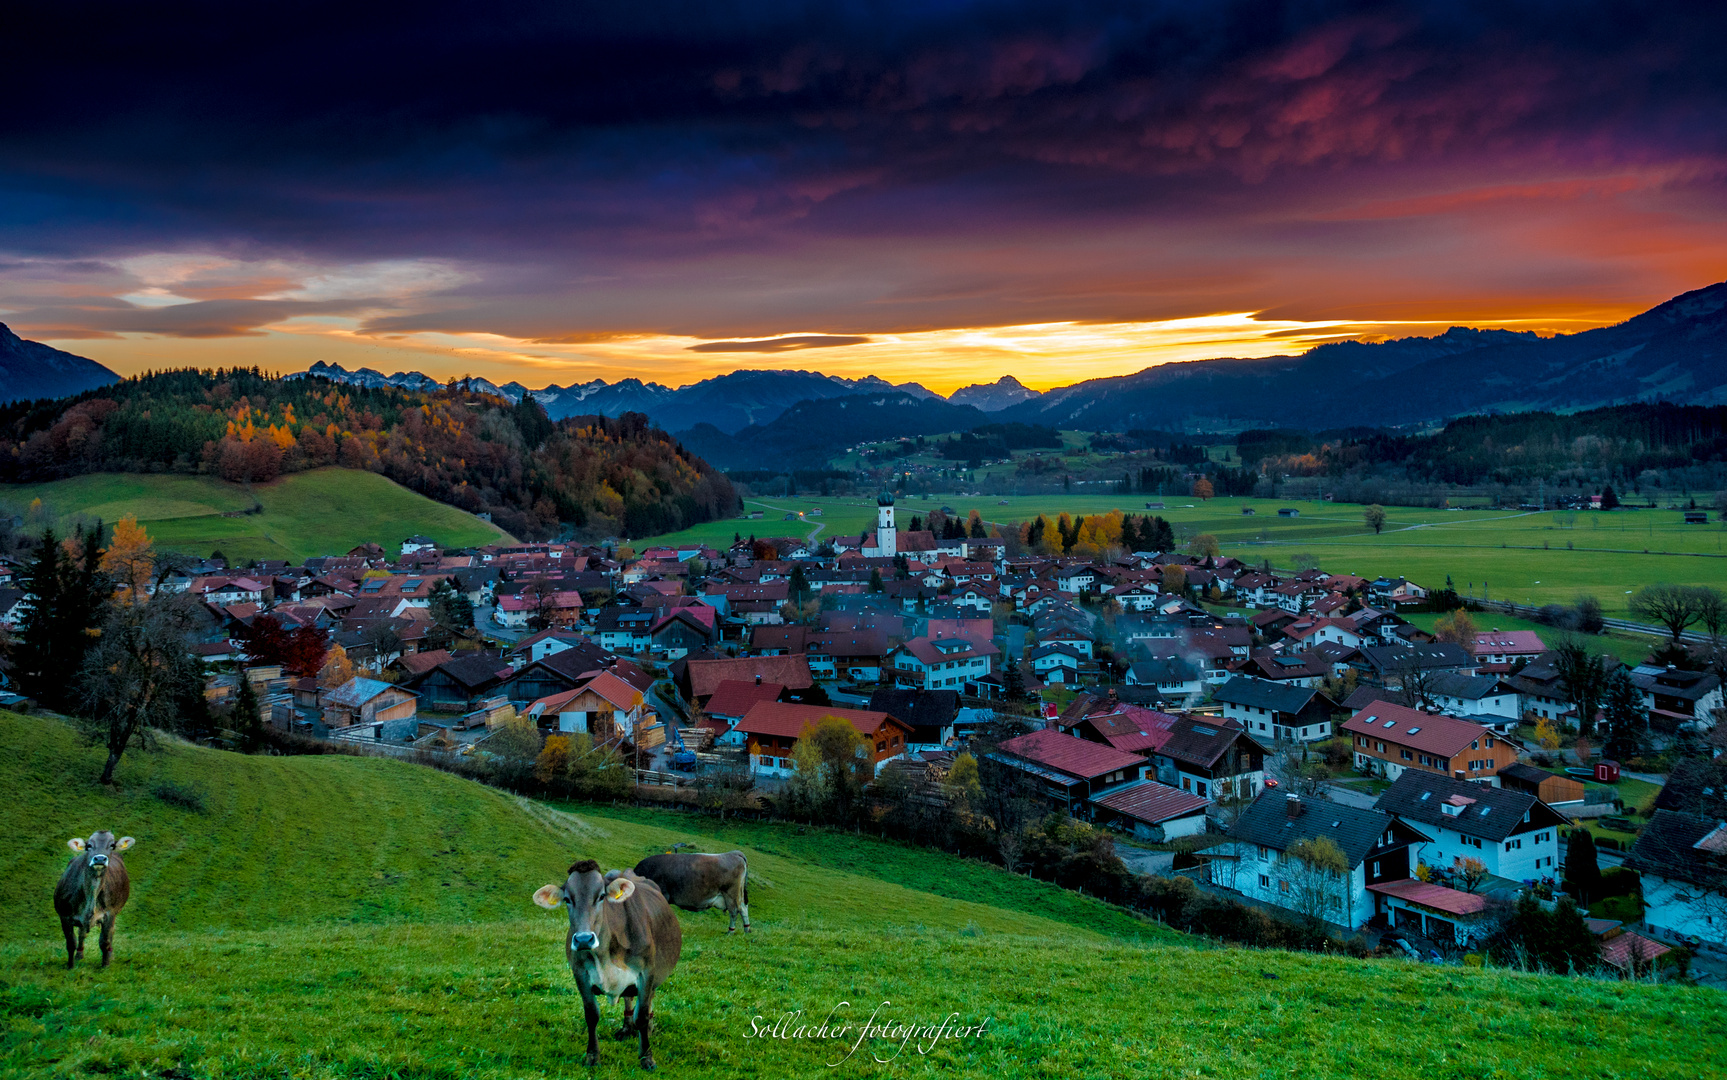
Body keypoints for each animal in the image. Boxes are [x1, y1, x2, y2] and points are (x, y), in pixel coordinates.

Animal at [52, 829, 134, 974]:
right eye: (89, 845)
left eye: (112, 845)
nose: (100, 859)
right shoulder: (64, 916)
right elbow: (71, 942)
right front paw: (70, 966)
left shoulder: (109, 914)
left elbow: (105, 941)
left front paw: (105, 965)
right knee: (82, 933)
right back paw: (79, 955)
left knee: (111, 933)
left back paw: (110, 955)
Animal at [531, 860, 680, 1071]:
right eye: (567, 899)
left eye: (601, 896)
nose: (583, 939)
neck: (605, 956)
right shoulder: (580, 974)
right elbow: (591, 1015)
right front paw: (592, 1056)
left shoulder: (647, 972)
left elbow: (642, 1015)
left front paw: (646, 1057)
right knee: (628, 998)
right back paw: (626, 1028)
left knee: (648, 1000)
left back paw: (649, 1029)